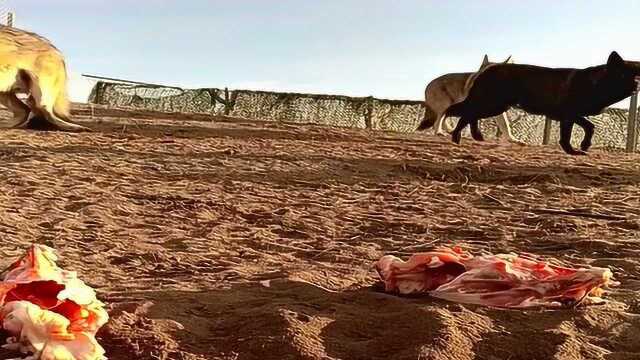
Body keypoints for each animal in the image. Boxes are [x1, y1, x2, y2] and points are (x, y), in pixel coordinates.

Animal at [420, 51, 640, 155]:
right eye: (622, 75)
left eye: (637, 75)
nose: (636, 85)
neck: (594, 83)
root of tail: (488, 69)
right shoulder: (568, 116)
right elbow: (568, 137)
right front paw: (573, 151)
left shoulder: (573, 116)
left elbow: (590, 127)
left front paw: (584, 146)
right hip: (492, 106)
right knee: (462, 114)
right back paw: (456, 137)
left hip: (495, 107)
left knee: (468, 115)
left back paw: (471, 137)